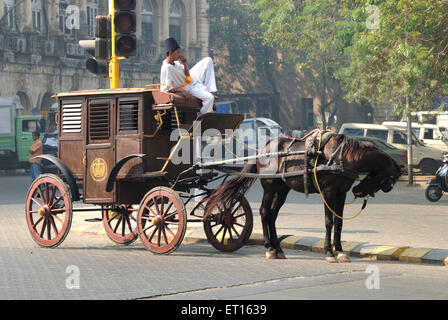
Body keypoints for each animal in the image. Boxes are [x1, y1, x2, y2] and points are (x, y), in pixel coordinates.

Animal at [205, 130, 404, 262]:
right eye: (388, 182)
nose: (358, 191)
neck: (343, 156)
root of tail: (264, 149)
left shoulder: (341, 193)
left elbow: (339, 223)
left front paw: (340, 251)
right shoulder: (328, 192)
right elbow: (329, 222)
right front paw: (329, 252)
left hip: (282, 189)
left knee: (272, 215)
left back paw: (278, 248)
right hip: (269, 186)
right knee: (264, 212)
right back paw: (269, 248)